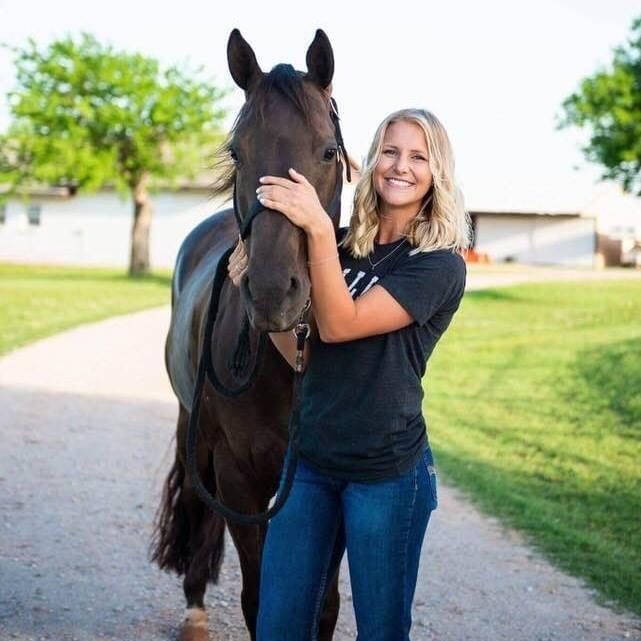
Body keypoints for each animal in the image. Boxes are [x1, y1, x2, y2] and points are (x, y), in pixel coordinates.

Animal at [151, 29, 347, 641]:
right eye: (238, 152)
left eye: (327, 152)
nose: (271, 290)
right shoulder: (240, 477)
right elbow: (258, 597)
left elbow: (323, 603)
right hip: (192, 431)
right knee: (196, 506)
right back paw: (194, 607)